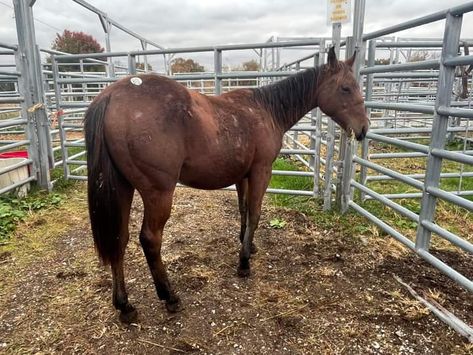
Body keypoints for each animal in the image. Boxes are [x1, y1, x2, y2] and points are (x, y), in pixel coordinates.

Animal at [83, 47, 366, 322]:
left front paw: (248, 245)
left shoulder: (243, 176)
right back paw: (169, 296)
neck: (266, 110)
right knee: (150, 240)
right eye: (345, 88)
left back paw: (124, 306)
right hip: (158, 193)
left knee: (119, 239)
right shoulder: (261, 171)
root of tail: (111, 96)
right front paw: (244, 264)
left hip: (123, 188)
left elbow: (244, 211)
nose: (363, 129)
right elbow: (255, 213)